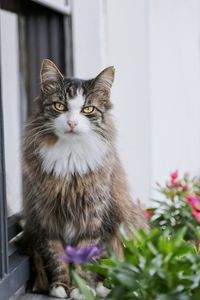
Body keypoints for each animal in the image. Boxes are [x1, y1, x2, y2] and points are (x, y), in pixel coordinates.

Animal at [21, 58, 148, 298]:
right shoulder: (48, 219)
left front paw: (83, 288)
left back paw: (103, 286)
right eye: (60, 106)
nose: (72, 123)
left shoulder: (93, 218)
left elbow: (85, 257)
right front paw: (61, 287)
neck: (70, 159)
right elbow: (57, 256)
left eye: (87, 109)